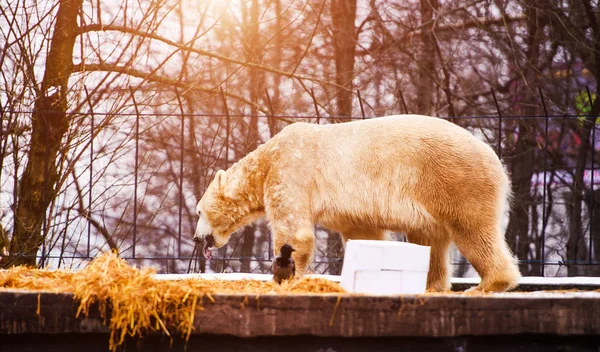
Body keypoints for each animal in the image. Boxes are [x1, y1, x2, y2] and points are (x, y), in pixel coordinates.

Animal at [196, 115, 520, 292]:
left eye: (199, 210)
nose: (198, 238)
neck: (267, 159)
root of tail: (498, 162)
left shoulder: (291, 171)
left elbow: (294, 231)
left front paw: (286, 273)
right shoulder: (353, 209)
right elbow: (364, 232)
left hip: (455, 179)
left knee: (472, 229)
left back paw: (485, 285)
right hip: (432, 196)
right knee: (431, 239)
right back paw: (432, 285)